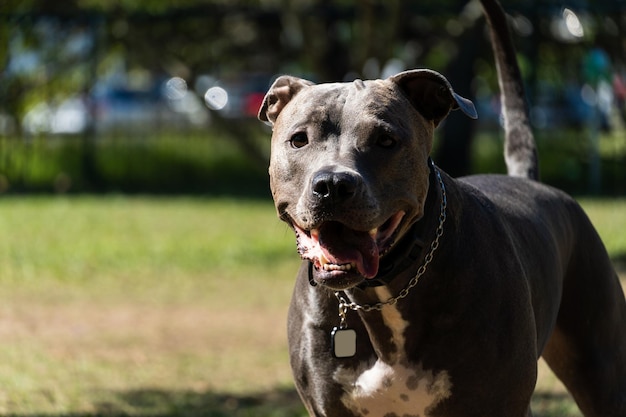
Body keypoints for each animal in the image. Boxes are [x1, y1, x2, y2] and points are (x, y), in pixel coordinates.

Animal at [255, 1, 624, 414]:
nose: (333, 185)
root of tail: (529, 180)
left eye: (385, 140)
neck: (381, 295)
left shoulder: (502, 402)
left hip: (601, 370)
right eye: (299, 139)